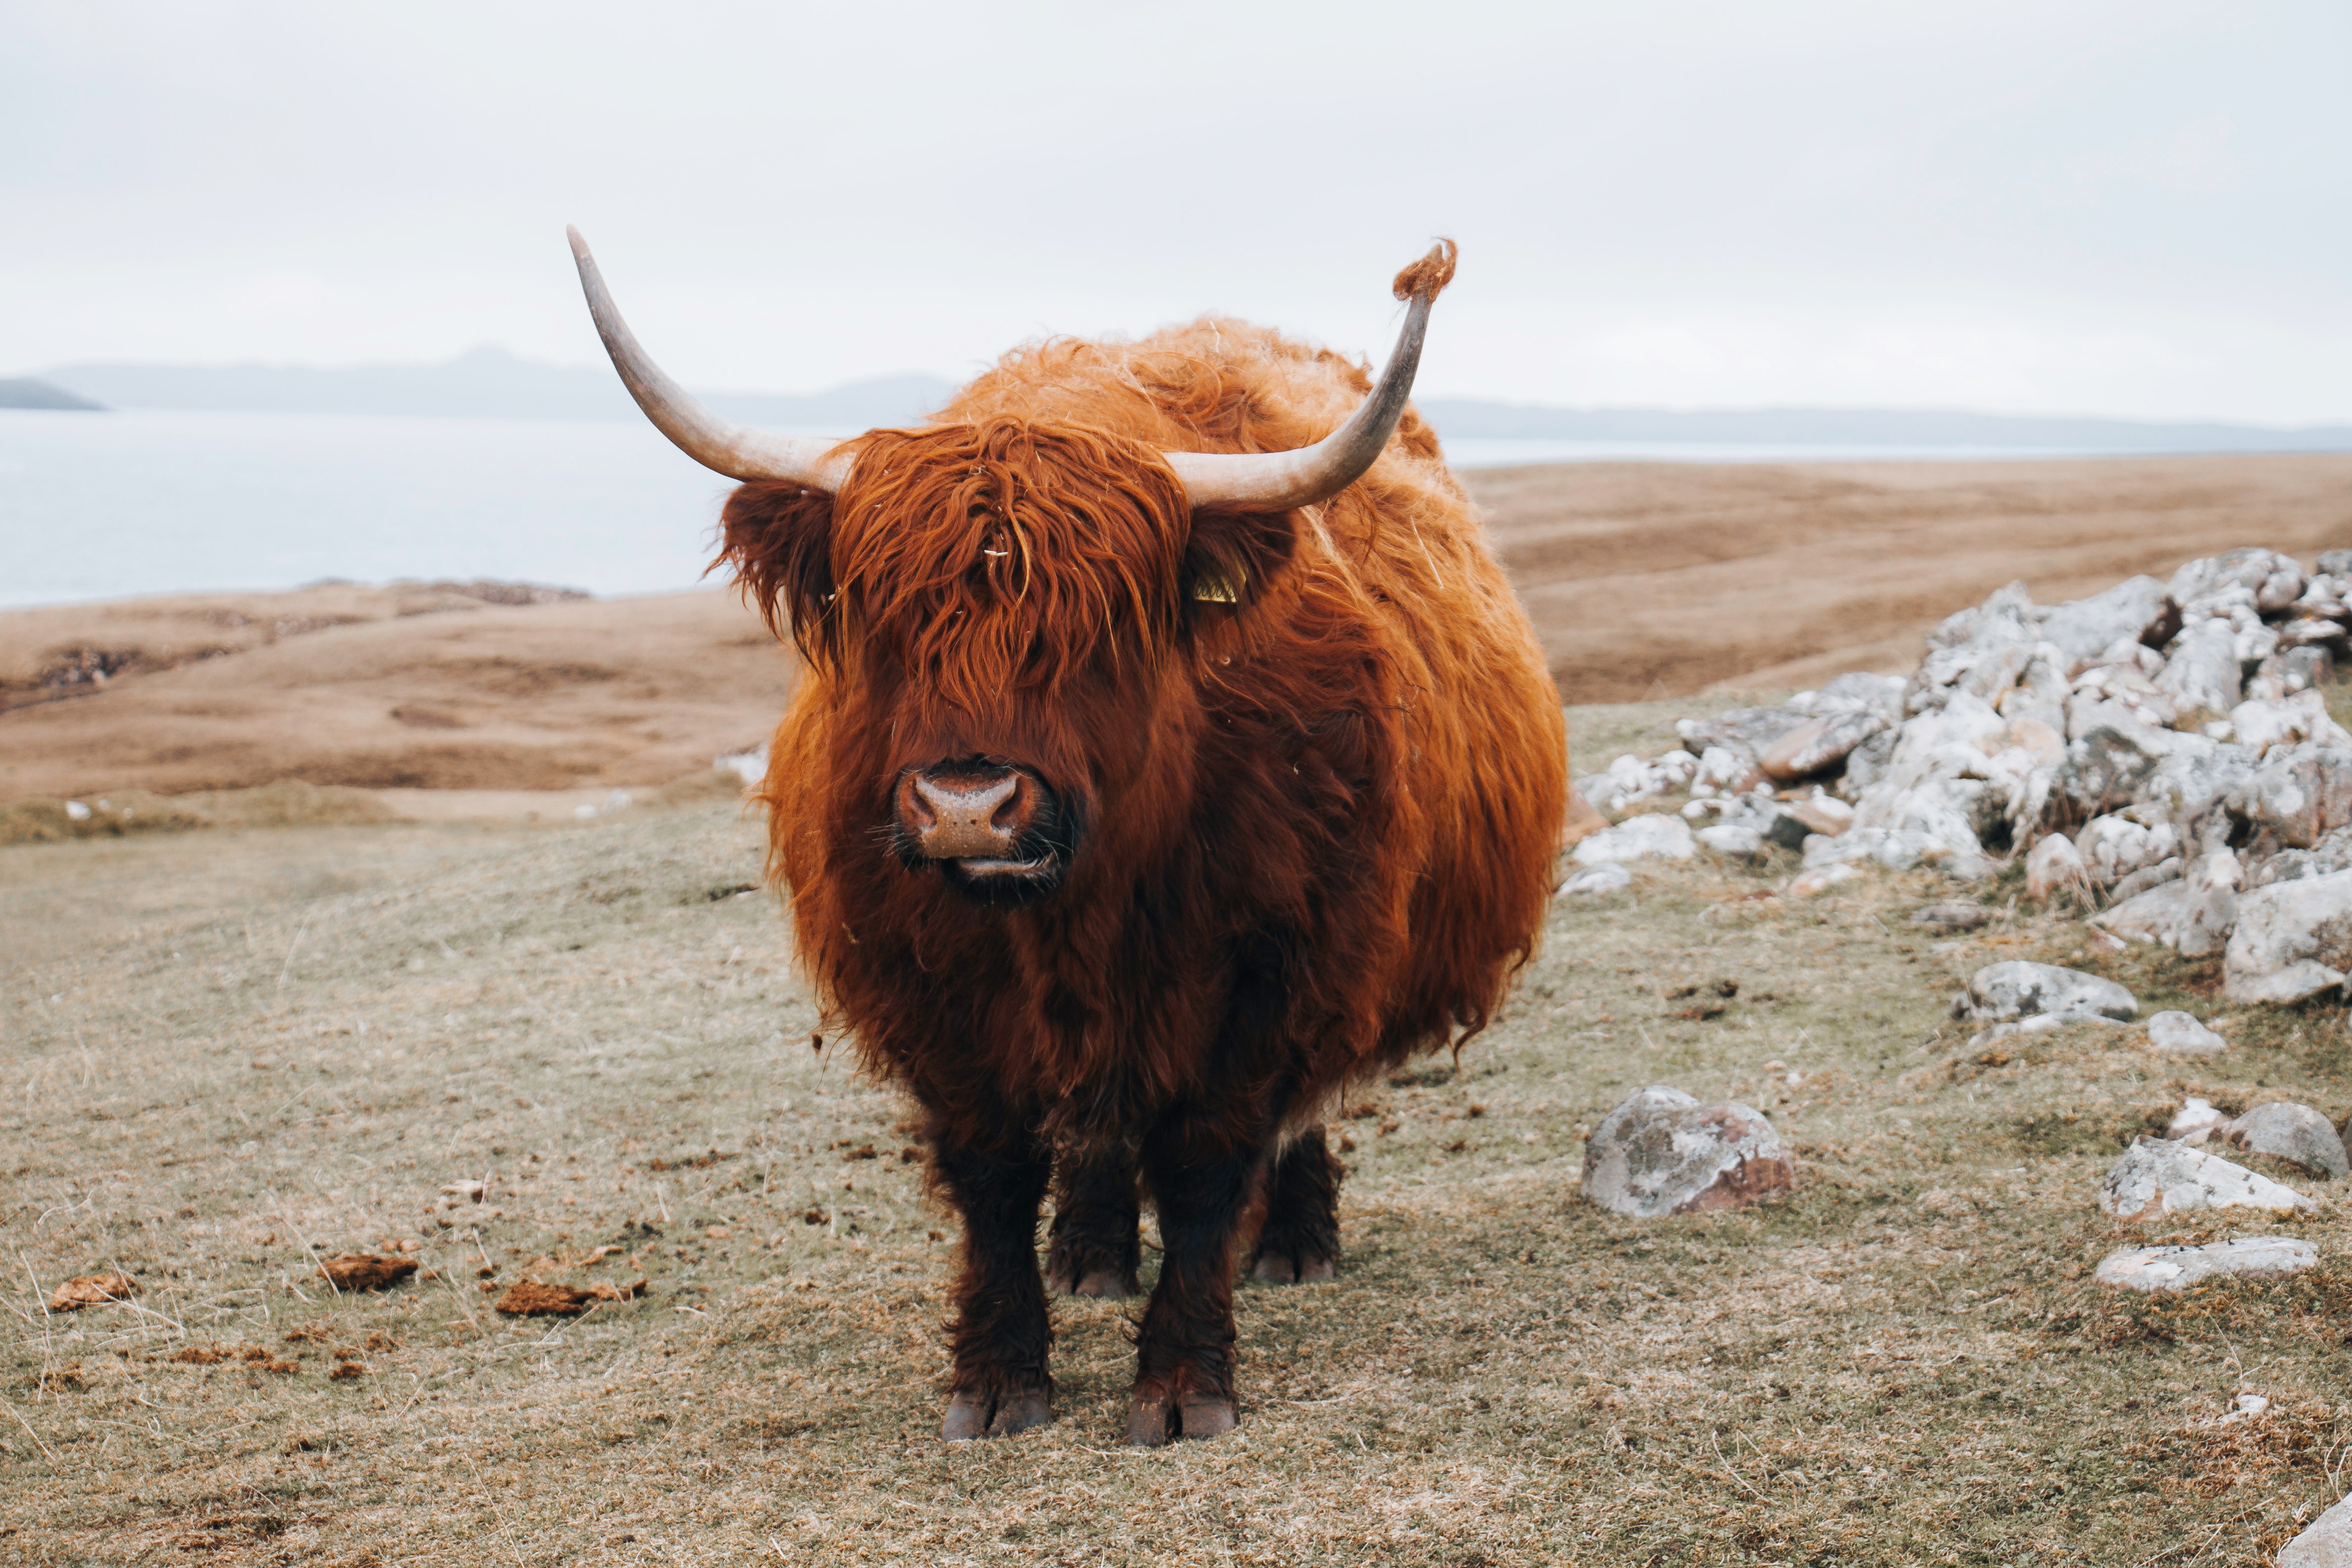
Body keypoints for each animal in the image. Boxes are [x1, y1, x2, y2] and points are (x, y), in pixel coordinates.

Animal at [567, 233, 1562, 1448]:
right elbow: (991, 1174)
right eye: (888, 619)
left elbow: (1208, 1162)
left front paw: (1183, 1383)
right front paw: (998, 1377)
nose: (966, 806)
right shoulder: (933, 995)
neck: (1071, 909)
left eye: (1095, 629)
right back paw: (1088, 1254)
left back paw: (1293, 1243)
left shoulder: (1274, 968)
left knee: (1284, 1114)